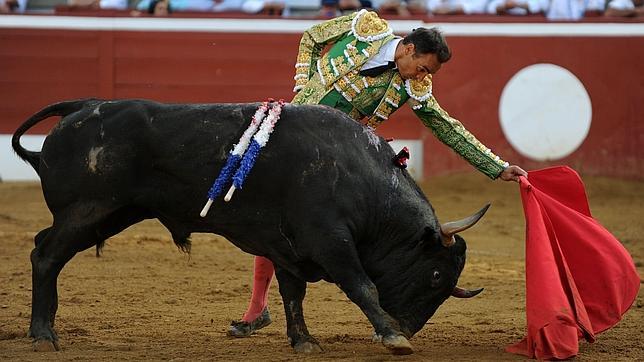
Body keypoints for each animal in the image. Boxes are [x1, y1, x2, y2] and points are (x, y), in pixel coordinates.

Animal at [11, 97, 488, 354]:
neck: (361, 178)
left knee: (45, 248)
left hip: (110, 214)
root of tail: (83, 105)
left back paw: (46, 327)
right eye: (435, 275)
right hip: (87, 211)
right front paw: (391, 338)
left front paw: (304, 341)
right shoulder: (330, 241)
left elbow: (293, 294)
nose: (406, 327)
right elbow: (362, 286)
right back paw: (43, 335)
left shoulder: (290, 249)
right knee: (45, 255)